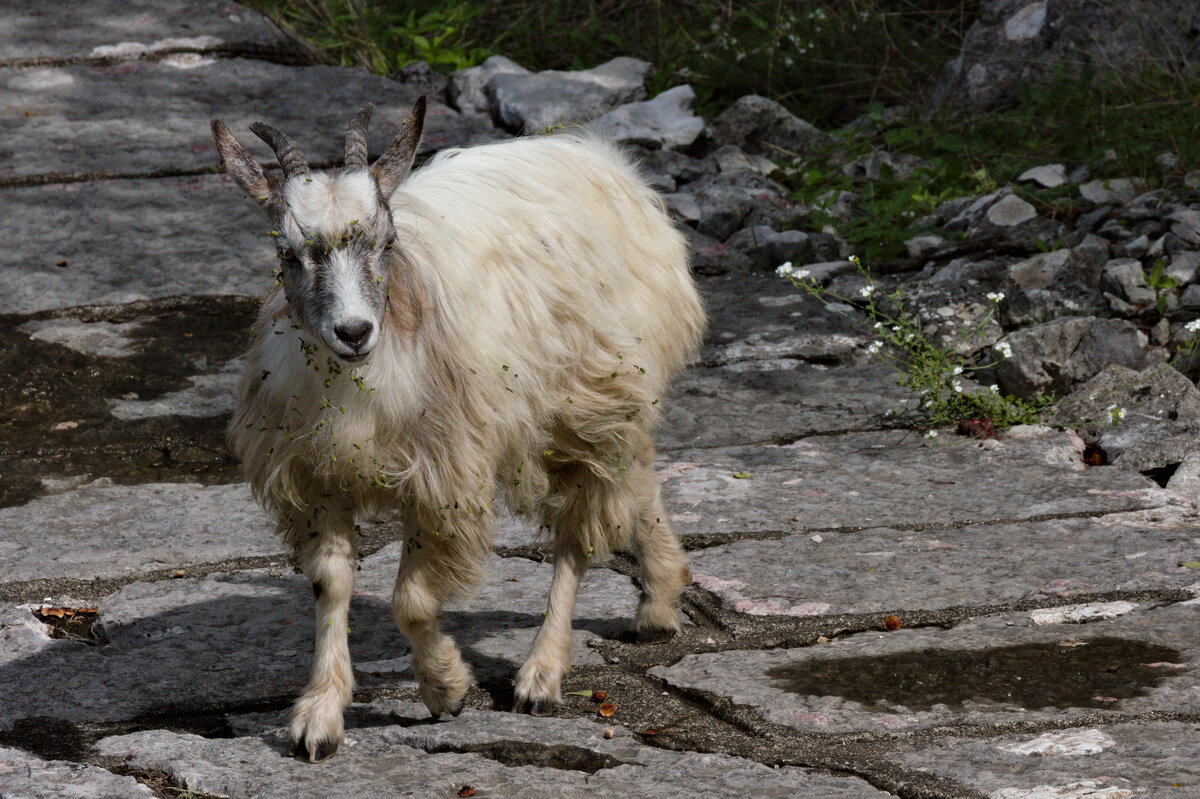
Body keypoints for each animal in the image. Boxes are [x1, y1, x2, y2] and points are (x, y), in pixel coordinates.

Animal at [212, 97, 705, 758]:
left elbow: (414, 601)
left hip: (588, 396)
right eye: (287, 252)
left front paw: (446, 688)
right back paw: (661, 597)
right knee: (639, 472)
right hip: (614, 395)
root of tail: (604, 162)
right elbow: (331, 585)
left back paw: (541, 674)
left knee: (578, 534)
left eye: (388, 241)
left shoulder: (443, 474)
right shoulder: (316, 479)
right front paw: (319, 715)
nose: (354, 331)